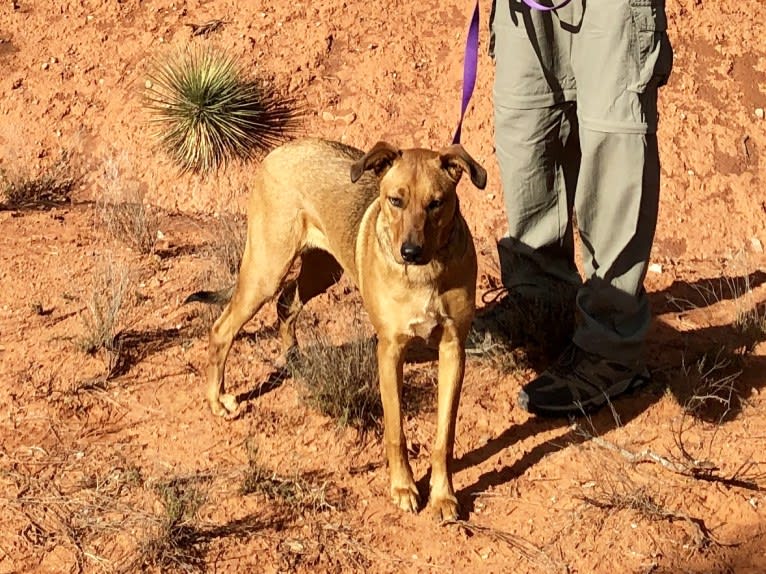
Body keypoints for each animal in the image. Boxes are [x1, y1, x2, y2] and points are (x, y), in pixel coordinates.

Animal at [188, 138, 486, 520]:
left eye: (436, 203)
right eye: (395, 200)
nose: (409, 251)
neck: (426, 271)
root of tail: (280, 150)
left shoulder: (453, 349)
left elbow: (444, 436)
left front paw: (444, 495)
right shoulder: (390, 350)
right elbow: (395, 431)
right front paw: (403, 487)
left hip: (322, 270)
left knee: (286, 304)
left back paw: (294, 359)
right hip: (267, 270)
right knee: (222, 328)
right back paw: (217, 400)